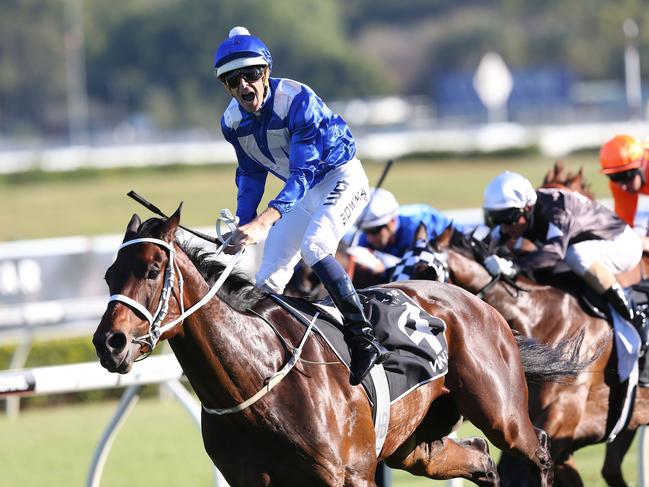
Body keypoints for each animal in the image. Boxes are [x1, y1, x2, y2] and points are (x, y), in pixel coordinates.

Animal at [91, 207, 592, 487]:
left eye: (153, 270)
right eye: (109, 274)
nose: (109, 342)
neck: (256, 379)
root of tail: (480, 304)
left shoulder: (350, 475)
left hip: (502, 414)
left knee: (537, 448)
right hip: (415, 445)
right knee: (480, 459)